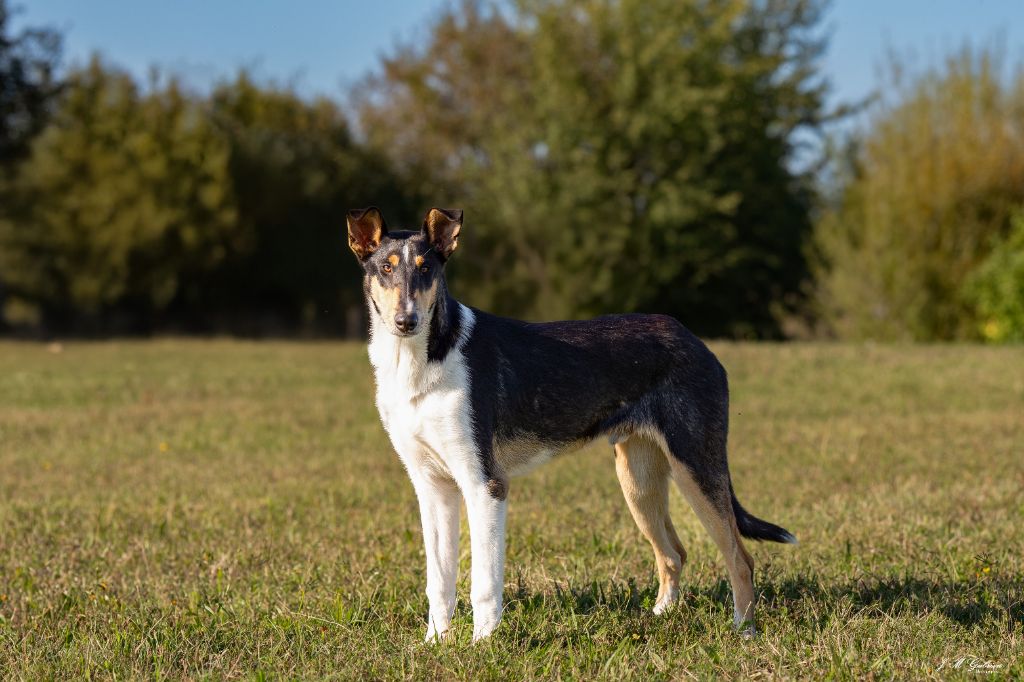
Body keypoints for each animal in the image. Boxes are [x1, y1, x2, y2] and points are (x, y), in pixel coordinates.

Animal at [348, 204, 794, 638]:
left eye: (427, 268)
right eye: (385, 267)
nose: (407, 321)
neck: (420, 362)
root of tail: (696, 341)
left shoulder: (485, 484)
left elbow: (484, 584)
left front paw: (483, 646)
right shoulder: (433, 487)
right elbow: (438, 583)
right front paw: (436, 644)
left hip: (695, 466)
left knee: (740, 559)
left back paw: (744, 631)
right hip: (638, 480)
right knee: (674, 553)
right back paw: (660, 616)